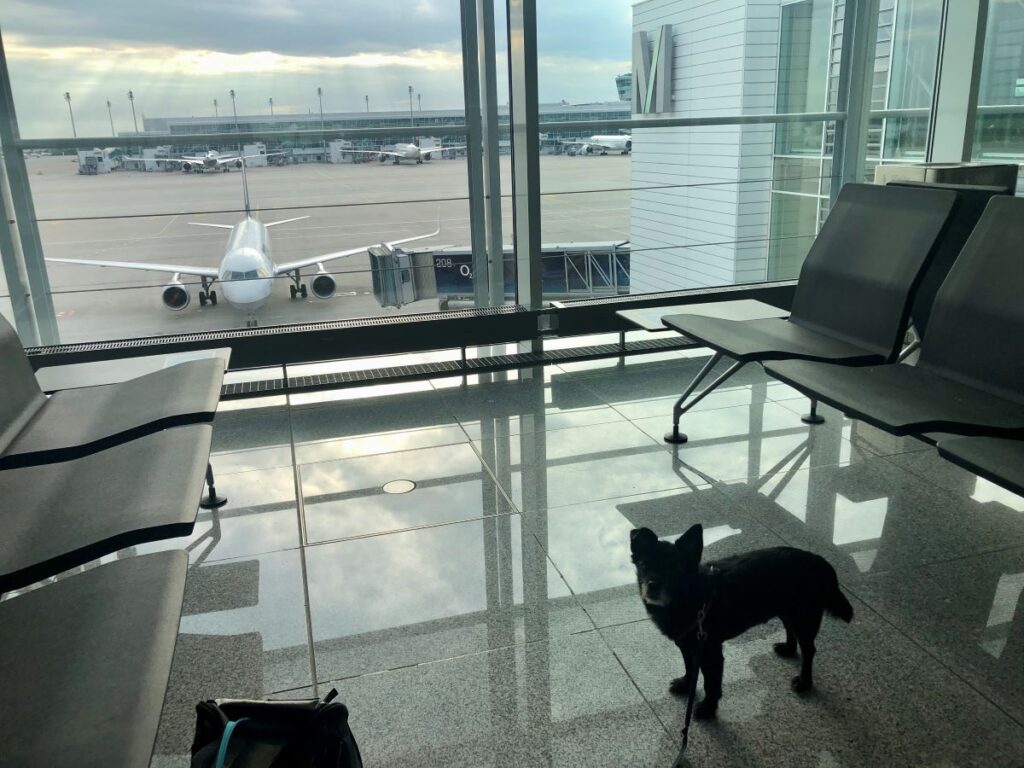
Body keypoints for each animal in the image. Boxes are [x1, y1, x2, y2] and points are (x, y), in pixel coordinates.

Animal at [626, 528, 851, 720]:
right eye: (644, 564)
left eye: (675, 569)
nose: (653, 585)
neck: (692, 595)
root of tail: (819, 560)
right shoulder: (687, 643)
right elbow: (689, 666)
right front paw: (685, 684)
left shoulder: (710, 651)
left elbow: (711, 683)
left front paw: (708, 708)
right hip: (787, 610)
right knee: (790, 630)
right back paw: (788, 649)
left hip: (804, 617)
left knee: (810, 650)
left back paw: (804, 682)